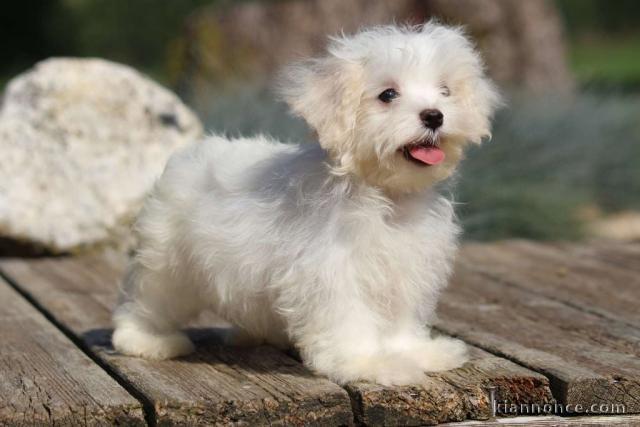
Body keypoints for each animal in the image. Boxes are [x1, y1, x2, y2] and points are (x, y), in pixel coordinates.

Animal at [114, 22, 500, 388]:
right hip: (169, 260)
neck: (385, 194)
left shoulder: (404, 269)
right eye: (388, 94)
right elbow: (348, 319)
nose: (434, 115)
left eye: (445, 91)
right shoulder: (331, 271)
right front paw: (370, 363)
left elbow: (399, 319)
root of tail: (189, 154)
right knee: (149, 300)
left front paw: (416, 352)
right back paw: (146, 340)